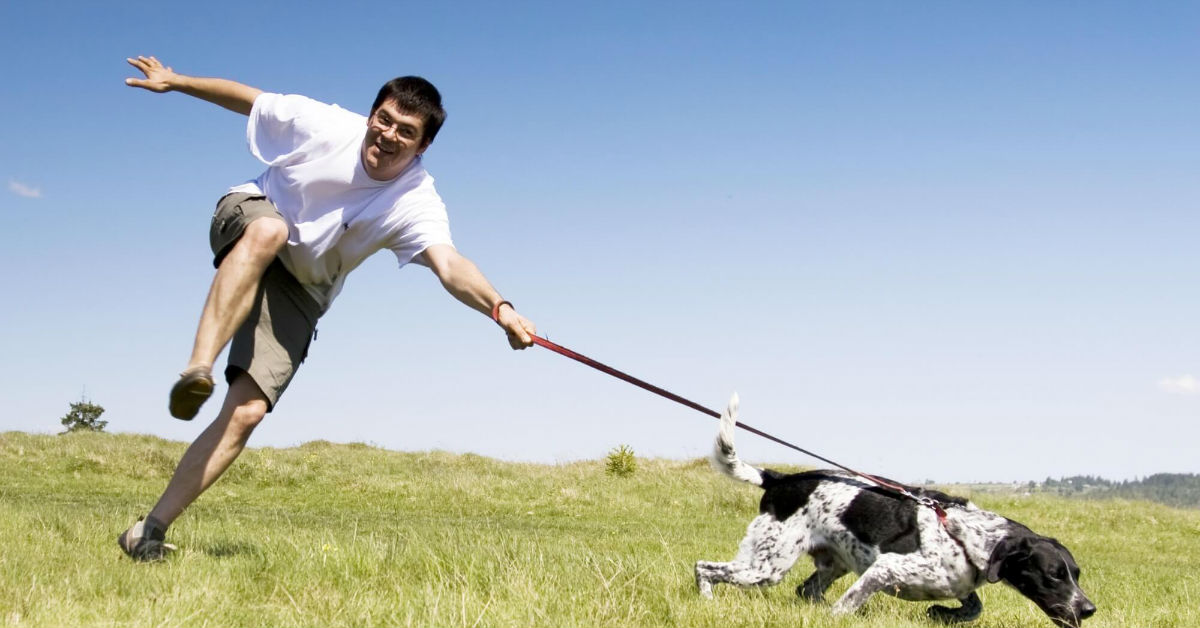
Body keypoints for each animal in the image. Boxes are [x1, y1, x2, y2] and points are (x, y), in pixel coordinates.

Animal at [696, 396, 1099, 624]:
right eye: (1053, 575)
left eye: (1076, 574)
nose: (1088, 609)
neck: (968, 537)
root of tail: (778, 480)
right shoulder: (885, 567)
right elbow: (847, 605)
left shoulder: (955, 582)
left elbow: (973, 607)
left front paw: (941, 614)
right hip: (766, 567)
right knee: (704, 567)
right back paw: (706, 601)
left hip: (831, 564)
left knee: (806, 591)